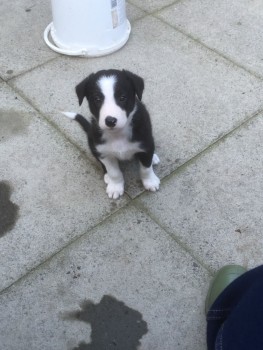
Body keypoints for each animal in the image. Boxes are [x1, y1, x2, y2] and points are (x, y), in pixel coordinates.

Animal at [63, 69, 161, 198]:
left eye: (122, 97)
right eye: (97, 99)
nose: (110, 121)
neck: (117, 134)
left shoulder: (146, 143)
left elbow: (146, 168)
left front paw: (150, 182)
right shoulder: (104, 152)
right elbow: (114, 172)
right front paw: (115, 187)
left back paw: (153, 157)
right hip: (92, 143)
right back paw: (107, 177)